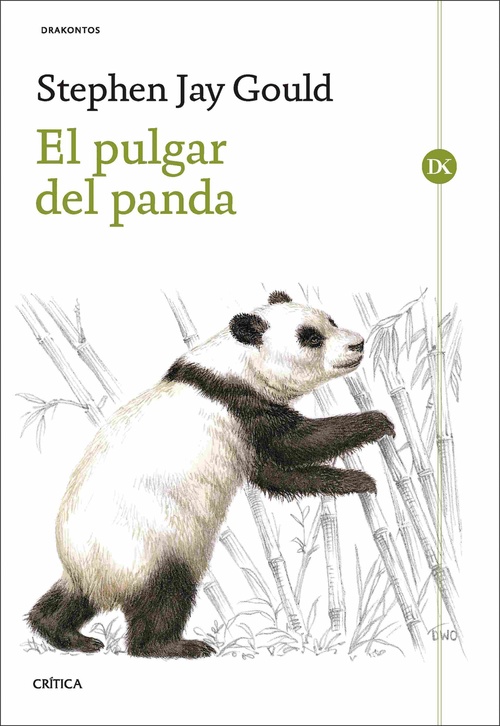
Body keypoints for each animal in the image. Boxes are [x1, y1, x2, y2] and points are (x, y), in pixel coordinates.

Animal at [27, 291, 394, 659]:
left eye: (331, 320)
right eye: (311, 338)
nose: (358, 343)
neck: (230, 365)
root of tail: (99, 581)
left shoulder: (243, 428)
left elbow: (275, 475)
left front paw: (357, 478)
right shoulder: (240, 406)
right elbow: (296, 443)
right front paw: (376, 429)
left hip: (93, 564)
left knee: (72, 598)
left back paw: (64, 633)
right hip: (149, 543)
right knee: (167, 591)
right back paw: (172, 645)